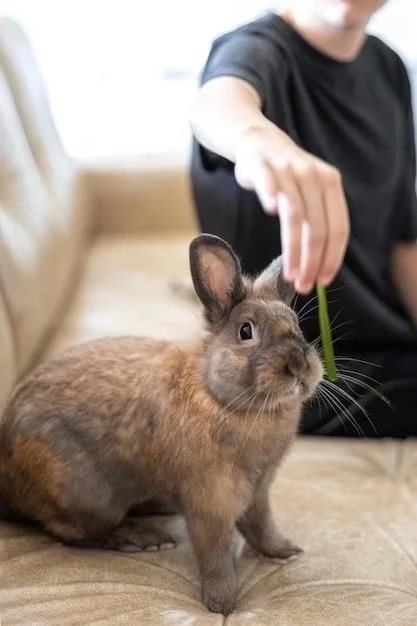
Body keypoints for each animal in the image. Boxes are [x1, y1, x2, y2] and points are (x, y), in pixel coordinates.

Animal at [0, 232, 322, 612]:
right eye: (246, 331)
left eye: (297, 325)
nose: (299, 365)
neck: (224, 400)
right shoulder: (209, 505)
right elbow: (215, 554)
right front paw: (222, 604)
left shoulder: (258, 493)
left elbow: (261, 528)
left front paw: (285, 550)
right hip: (84, 493)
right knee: (78, 532)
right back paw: (141, 539)